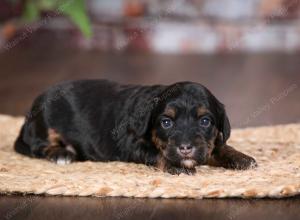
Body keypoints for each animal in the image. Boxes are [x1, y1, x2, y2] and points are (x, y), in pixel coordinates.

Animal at [14, 80, 258, 174]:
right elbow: (157, 153)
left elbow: (219, 146)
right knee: (38, 145)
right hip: (45, 122)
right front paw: (177, 165)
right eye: (166, 122)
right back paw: (61, 153)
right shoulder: (133, 144)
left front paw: (242, 158)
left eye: (205, 121)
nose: (185, 148)